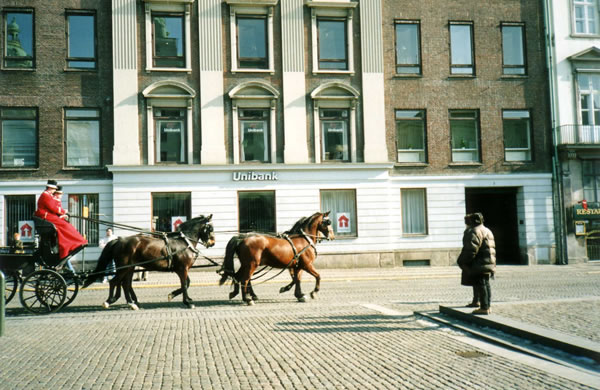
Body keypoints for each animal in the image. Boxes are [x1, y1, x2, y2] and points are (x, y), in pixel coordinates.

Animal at [84, 215, 216, 310]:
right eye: (210, 228)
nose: (212, 243)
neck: (183, 242)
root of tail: (119, 240)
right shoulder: (182, 268)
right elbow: (184, 284)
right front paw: (187, 302)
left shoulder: (182, 269)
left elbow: (187, 283)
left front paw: (174, 295)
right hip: (124, 267)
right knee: (115, 282)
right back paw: (109, 301)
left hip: (129, 268)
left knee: (125, 284)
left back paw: (131, 303)